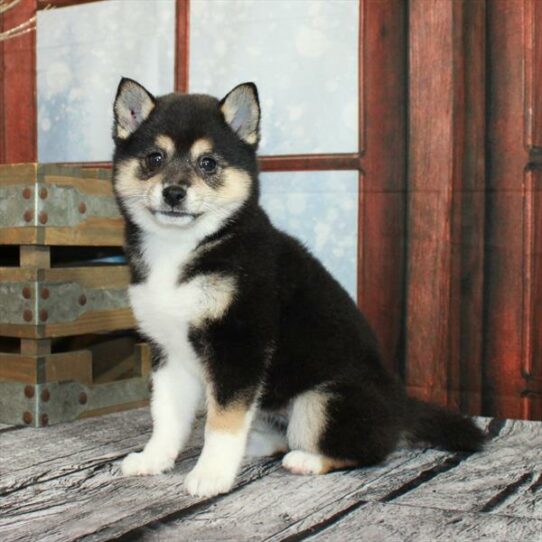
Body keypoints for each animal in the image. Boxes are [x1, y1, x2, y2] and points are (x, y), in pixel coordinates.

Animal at [112, 78, 486, 500]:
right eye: (154, 158)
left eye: (208, 163)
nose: (174, 192)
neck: (183, 248)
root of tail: (401, 407)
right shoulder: (170, 351)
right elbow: (167, 417)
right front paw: (154, 459)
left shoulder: (239, 345)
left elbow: (222, 423)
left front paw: (211, 474)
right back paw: (257, 445)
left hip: (323, 400)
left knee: (367, 450)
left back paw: (306, 459)